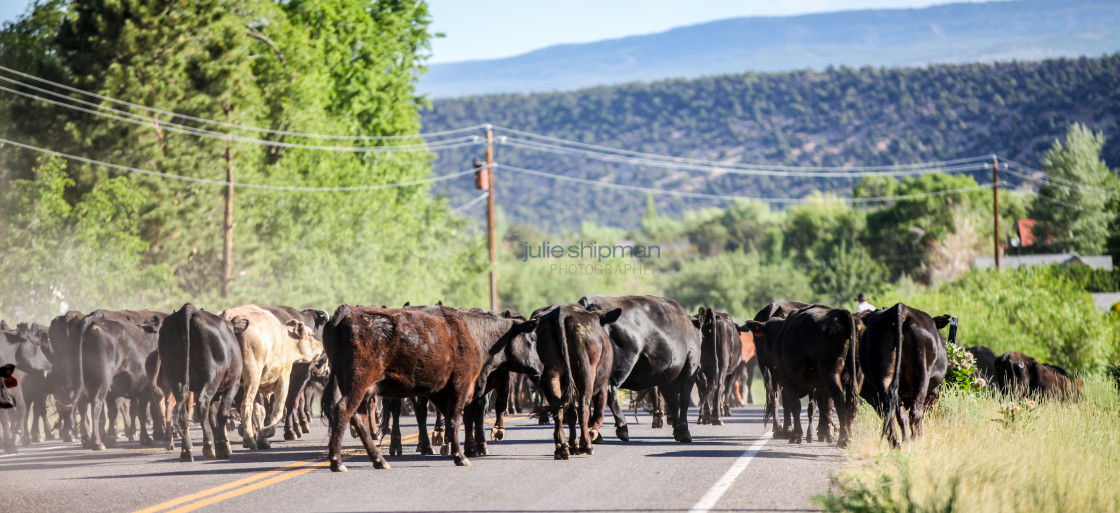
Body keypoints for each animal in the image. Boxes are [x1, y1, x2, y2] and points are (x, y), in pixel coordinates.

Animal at [156, 302, 244, 463]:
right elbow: (221, 414)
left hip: (176, 379)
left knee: (182, 412)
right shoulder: (233, 384)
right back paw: (208, 446)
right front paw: (222, 448)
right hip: (211, 377)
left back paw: (186, 451)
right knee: (203, 403)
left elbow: (213, 417)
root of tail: (190, 309)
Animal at [221, 304, 320, 448]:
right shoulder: (284, 379)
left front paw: (263, 439)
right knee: (246, 405)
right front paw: (266, 432)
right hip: (252, 378)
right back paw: (250, 439)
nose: (321, 345)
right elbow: (278, 410)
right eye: (311, 335)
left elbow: (260, 411)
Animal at [577, 293, 698, 443]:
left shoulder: (666, 377)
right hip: (624, 363)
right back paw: (622, 427)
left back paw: (594, 433)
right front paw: (684, 431)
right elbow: (683, 401)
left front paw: (678, 430)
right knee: (609, 390)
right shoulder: (690, 367)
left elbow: (672, 402)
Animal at [743, 306, 864, 445]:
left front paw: (796, 435)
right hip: (855, 376)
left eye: (766, 337)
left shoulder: (787, 380)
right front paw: (820, 433)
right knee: (850, 404)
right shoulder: (817, 385)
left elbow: (795, 406)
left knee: (839, 401)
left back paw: (843, 439)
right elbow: (820, 407)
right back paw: (848, 436)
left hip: (831, 375)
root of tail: (841, 313)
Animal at [855, 302, 945, 445]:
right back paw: (916, 440)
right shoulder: (932, 392)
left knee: (891, 412)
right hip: (922, 376)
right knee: (915, 413)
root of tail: (901, 308)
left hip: (885, 378)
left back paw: (897, 443)